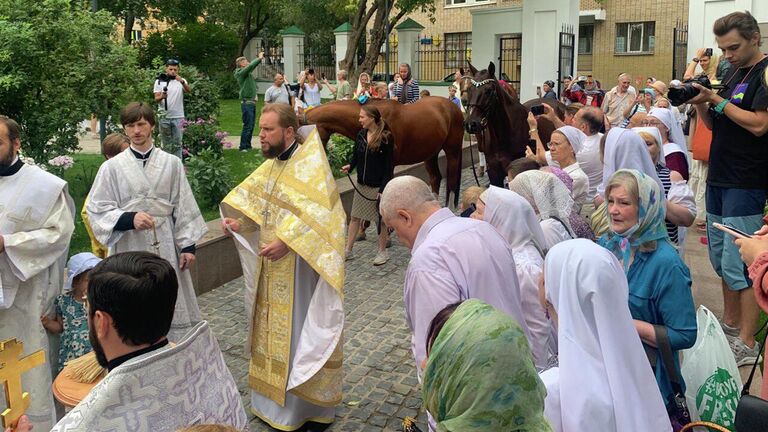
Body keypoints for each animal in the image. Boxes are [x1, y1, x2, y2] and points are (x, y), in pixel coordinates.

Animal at [304, 97, 464, 208]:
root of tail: (453, 107)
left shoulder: (388, 165)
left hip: (453, 151)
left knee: (451, 181)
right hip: (430, 154)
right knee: (436, 178)